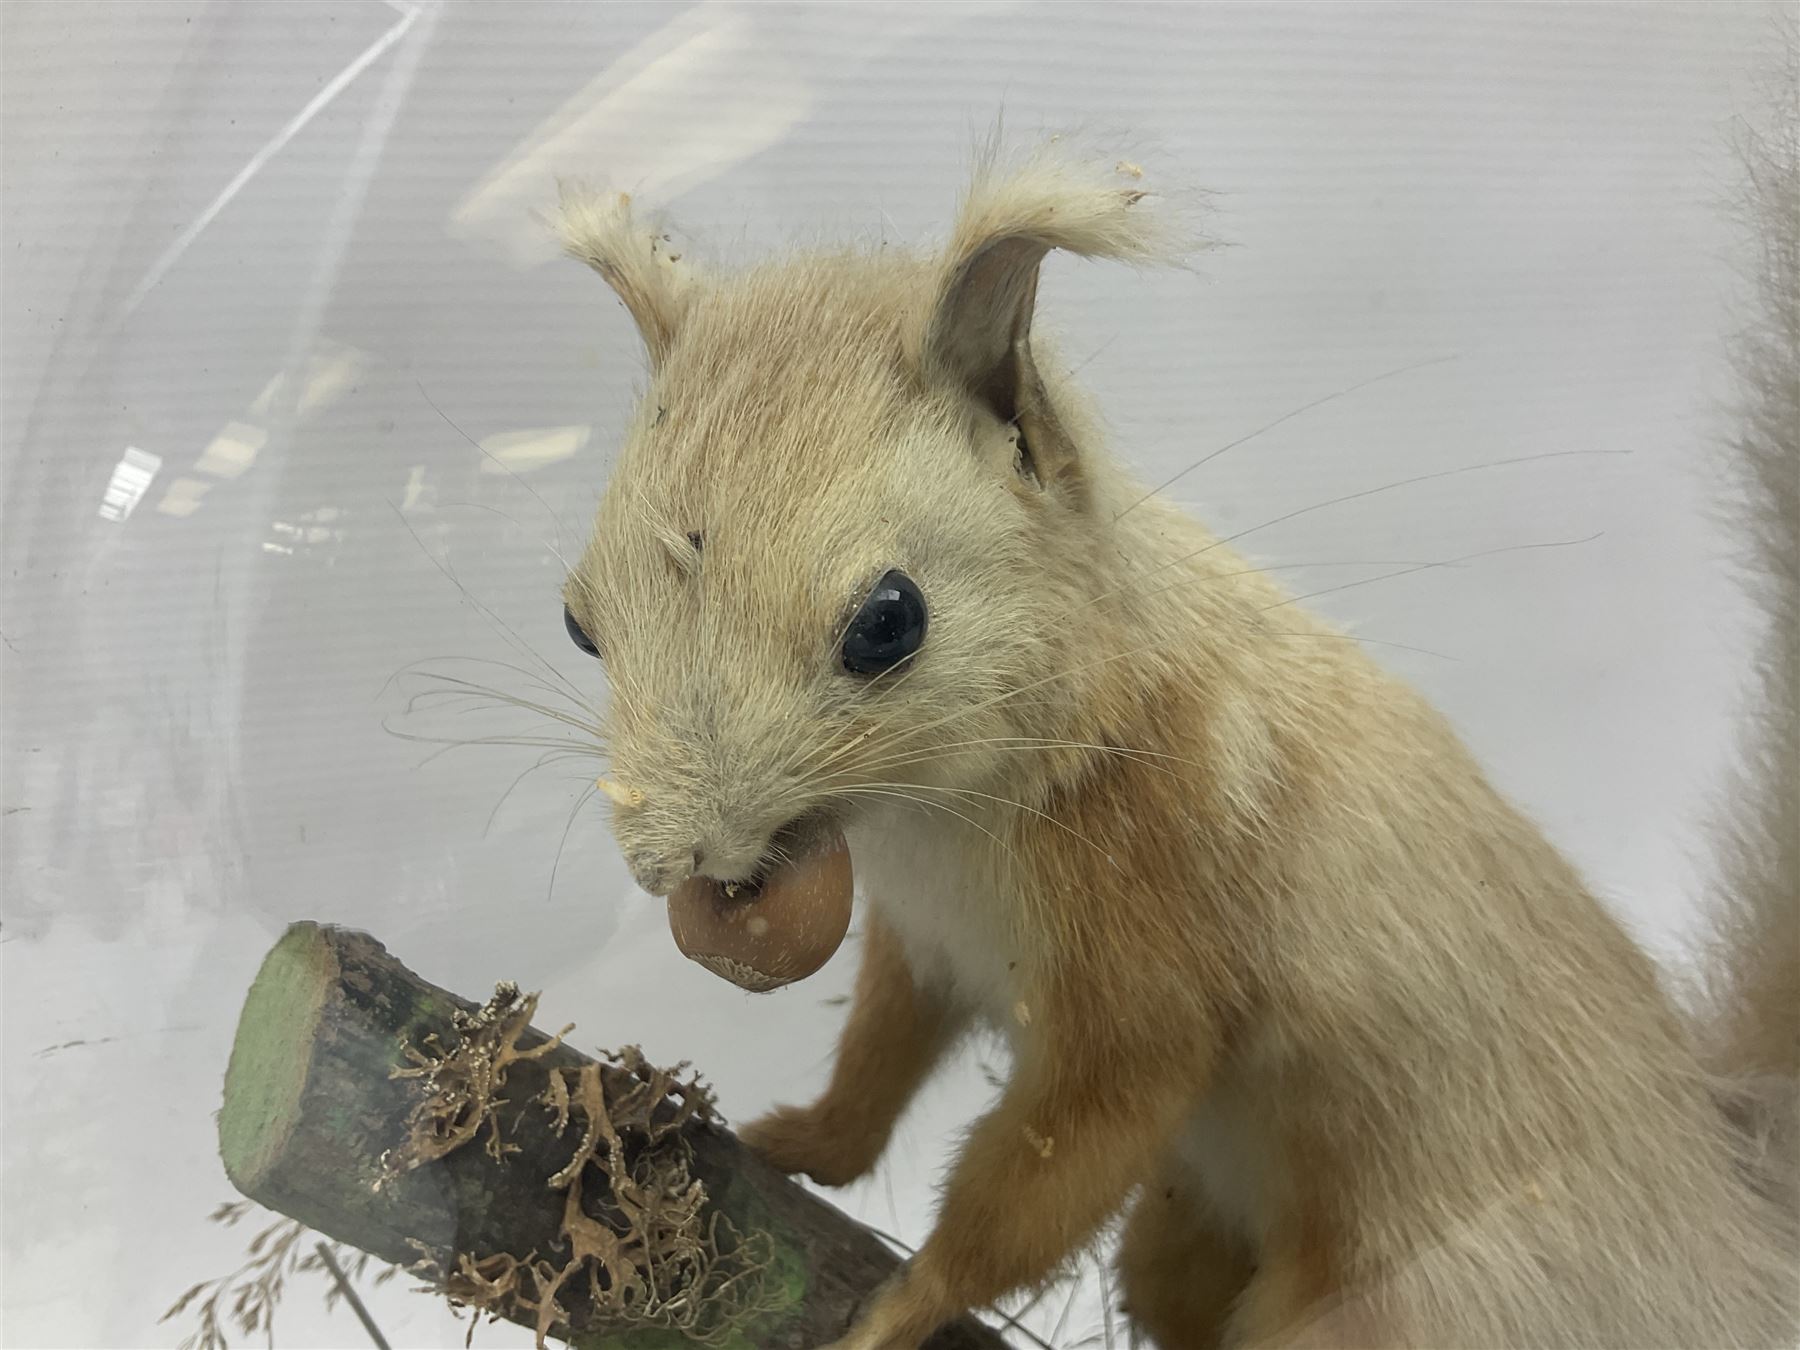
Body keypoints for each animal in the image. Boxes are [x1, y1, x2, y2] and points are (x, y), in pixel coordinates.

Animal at [548, 106, 1798, 1350]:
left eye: (889, 620)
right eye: (575, 620)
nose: (669, 863)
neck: (941, 819)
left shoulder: (1151, 962)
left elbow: (1051, 1168)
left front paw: (902, 1308)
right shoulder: (924, 939)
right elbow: (879, 1057)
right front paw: (797, 1137)